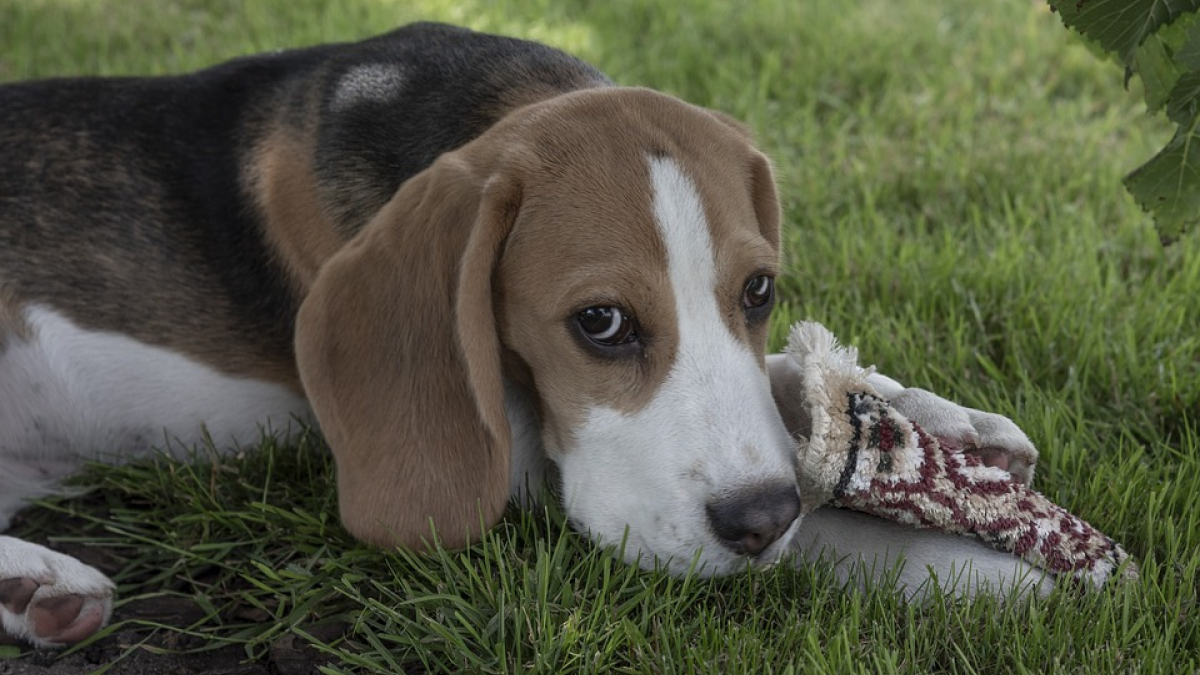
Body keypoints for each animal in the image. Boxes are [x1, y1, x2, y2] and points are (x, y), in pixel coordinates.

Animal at [0, 23, 1041, 643]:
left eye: (759, 290)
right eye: (600, 322)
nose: (758, 518)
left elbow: (787, 380)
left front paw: (937, 424)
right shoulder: (526, 475)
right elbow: (823, 529)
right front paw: (983, 571)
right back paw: (40, 575)